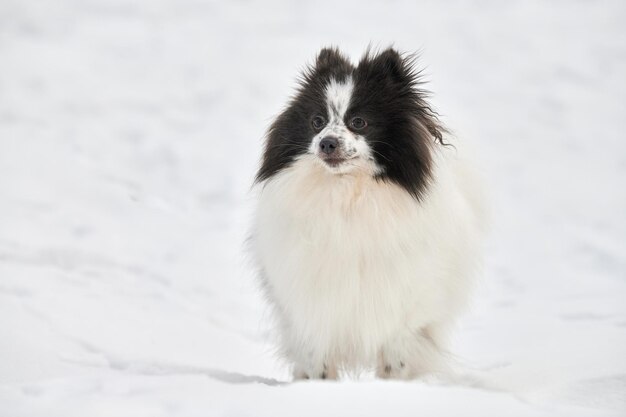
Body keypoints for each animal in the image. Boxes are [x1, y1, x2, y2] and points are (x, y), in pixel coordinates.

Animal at [251, 46, 486, 380]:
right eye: (317, 121)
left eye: (359, 122)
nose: (327, 143)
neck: (349, 193)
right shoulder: (311, 301)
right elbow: (316, 358)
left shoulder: (403, 303)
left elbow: (396, 356)